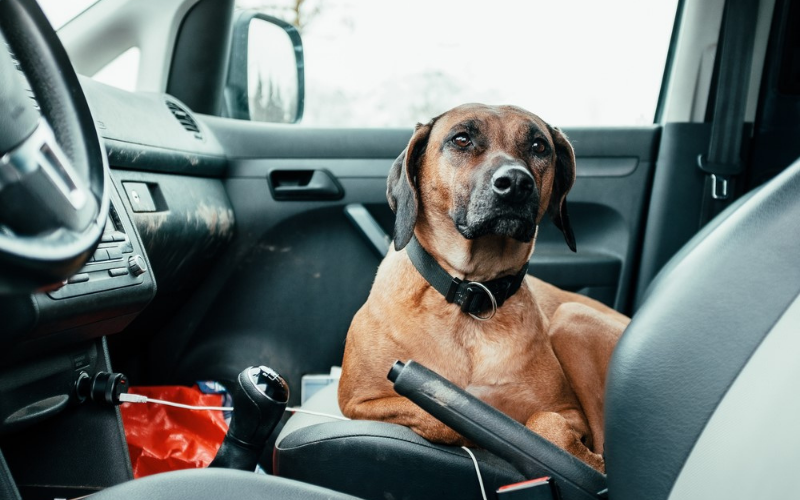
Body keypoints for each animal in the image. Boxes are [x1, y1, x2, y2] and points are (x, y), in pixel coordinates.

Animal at [338, 102, 632, 472]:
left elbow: (545, 423)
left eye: (539, 147)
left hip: (573, 317)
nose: (516, 183)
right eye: (461, 139)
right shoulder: (359, 401)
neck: (473, 294)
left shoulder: (568, 411)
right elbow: (439, 412)